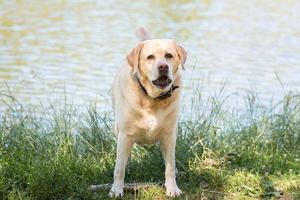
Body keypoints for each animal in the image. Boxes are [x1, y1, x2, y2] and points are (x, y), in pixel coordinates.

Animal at [109, 27, 186, 197]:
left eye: (169, 55)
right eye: (150, 57)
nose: (163, 66)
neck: (152, 99)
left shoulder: (169, 135)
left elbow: (170, 166)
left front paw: (172, 188)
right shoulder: (125, 134)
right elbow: (119, 167)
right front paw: (116, 189)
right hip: (118, 130)